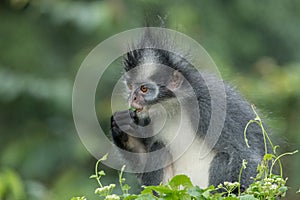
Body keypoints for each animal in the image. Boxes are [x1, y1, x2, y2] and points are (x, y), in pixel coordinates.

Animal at [110, 30, 268, 191]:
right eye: (130, 87)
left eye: (144, 89)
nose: (132, 98)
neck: (173, 107)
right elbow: (142, 165)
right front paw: (122, 127)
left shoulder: (211, 102)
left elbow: (245, 155)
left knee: (224, 156)